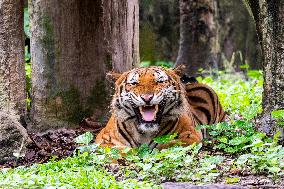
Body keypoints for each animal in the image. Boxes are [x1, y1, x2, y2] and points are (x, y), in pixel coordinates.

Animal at [95, 66, 226, 149]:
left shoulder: (191, 135)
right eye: (134, 83)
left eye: (159, 81)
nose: (147, 97)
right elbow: (117, 150)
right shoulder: (103, 138)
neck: (144, 133)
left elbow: (168, 145)